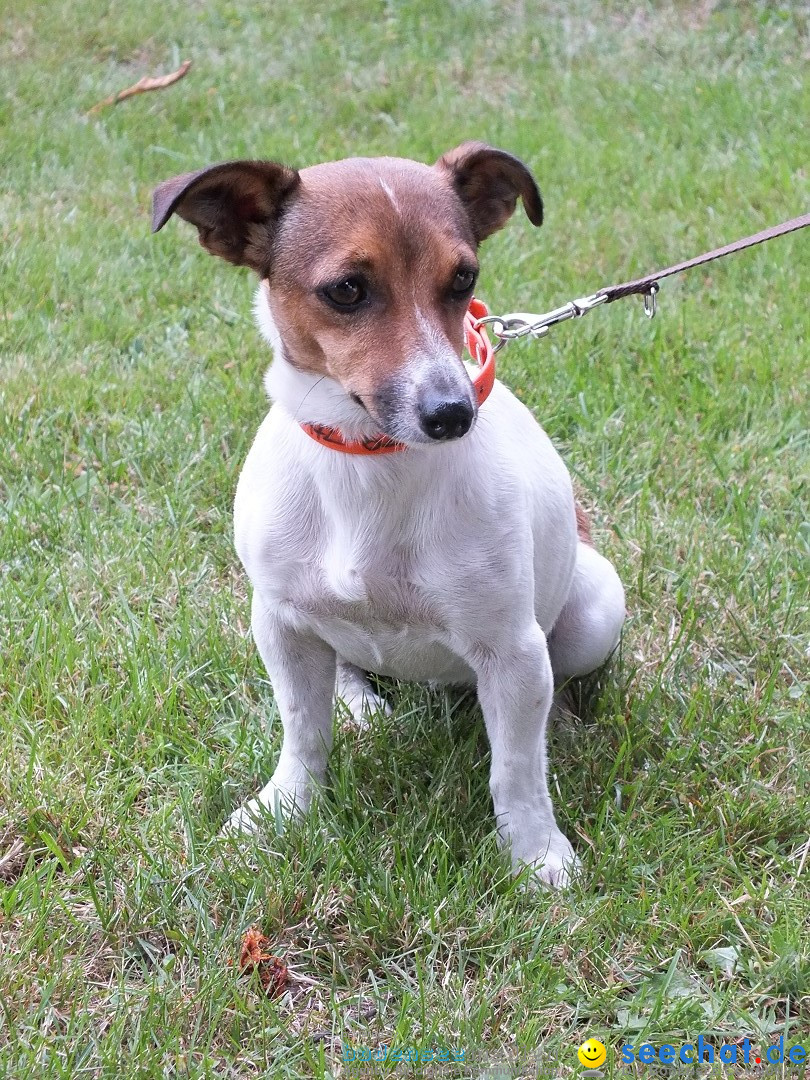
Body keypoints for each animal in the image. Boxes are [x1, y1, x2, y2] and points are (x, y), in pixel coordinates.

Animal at [155, 141, 630, 885]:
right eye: (347, 289)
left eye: (463, 278)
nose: (454, 413)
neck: (367, 463)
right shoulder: (280, 623)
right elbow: (303, 731)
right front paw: (284, 809)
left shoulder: (513, 651)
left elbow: (516, 772)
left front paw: (535, 853)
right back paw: (360, 702)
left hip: (592, 609)